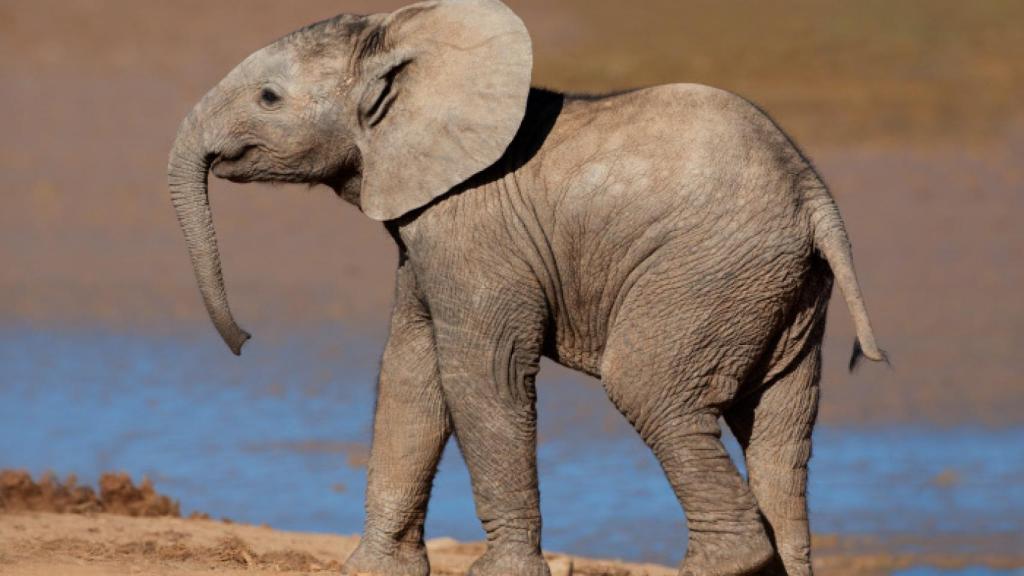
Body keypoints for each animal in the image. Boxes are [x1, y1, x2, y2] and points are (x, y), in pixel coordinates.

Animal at [167, 0, 885, 574]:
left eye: (268, 98)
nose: (245, 339)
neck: (404, 41)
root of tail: (814, 194)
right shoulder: (430, 232)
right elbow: (409, 371)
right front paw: (372, 572)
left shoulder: (474, 229)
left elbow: (480, 373)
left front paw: (499, 574)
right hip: (778, 289)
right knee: (779, 430)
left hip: (705, 274)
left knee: (650, 389)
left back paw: (726, 563)